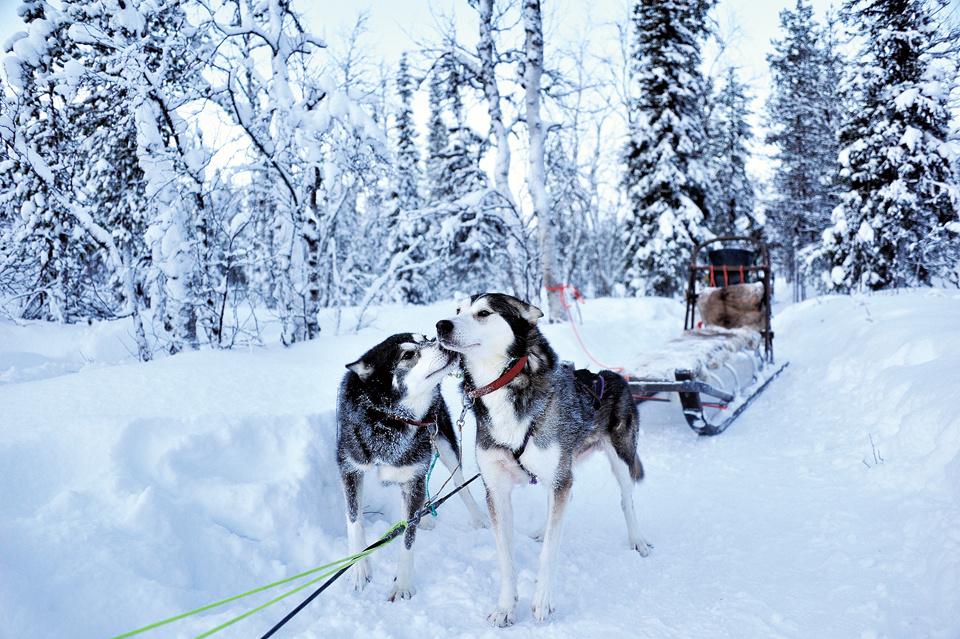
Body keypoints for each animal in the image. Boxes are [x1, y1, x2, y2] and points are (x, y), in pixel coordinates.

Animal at [338, 332, 488, 604]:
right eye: (408, 354)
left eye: (426, 337)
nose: (443, 342)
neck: (388, 420)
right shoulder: (350, 469)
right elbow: (354, 520)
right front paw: (359, 568)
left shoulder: (414, 477)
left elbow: (408, 538)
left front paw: (402, 585)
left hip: (443, 443)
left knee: (460, 484)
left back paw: (475, 516)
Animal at [436, 296, 652, 624]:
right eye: (457, 310)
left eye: (484, 313)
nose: (441, 325)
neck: (504, 390)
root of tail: (615, 376)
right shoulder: (497, 491)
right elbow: (506, 556)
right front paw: (506, 606)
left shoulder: (561, 477)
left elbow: (550, 550)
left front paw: (542, 601)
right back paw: (541, 528)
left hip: (620, 459)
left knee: (626, 500)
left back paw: (637, 539)